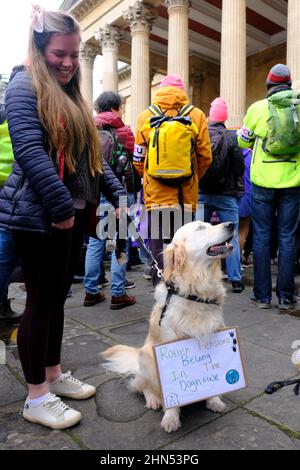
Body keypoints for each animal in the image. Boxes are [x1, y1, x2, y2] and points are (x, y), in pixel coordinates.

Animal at [102, 220, 234, 434]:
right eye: (200, 228)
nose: (231, 224)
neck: (196, 290)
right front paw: (171, 417)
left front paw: (213, 399)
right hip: (146, 357)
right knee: (143, 387)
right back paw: (154, 400)